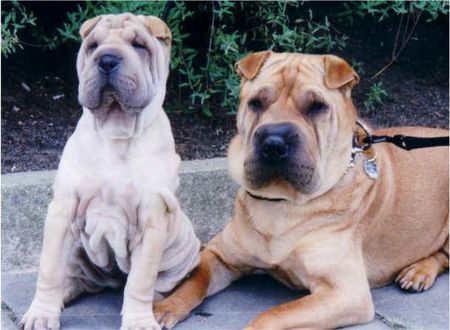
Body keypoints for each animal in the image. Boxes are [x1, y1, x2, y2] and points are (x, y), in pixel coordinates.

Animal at [20, 12, 200, 330]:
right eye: (93, 46)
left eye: (139, 45)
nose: (106, 60)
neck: (116, 132)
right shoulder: (62, 211)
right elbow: (49, 271)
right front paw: (41, 313)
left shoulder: (152, 221)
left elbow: (140, 281)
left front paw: (139, 321)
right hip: (77, 251)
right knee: (74, 278)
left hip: (181, 249)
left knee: (154, 284)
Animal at [153, 50, 448, 328]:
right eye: (256, 103)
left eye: (317, 107)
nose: (273, 142)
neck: (281, 203)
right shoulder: (219, 255)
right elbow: (194, 281)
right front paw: (164, 307)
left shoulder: (345, 293)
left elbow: (271, 316)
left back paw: (418, 272)